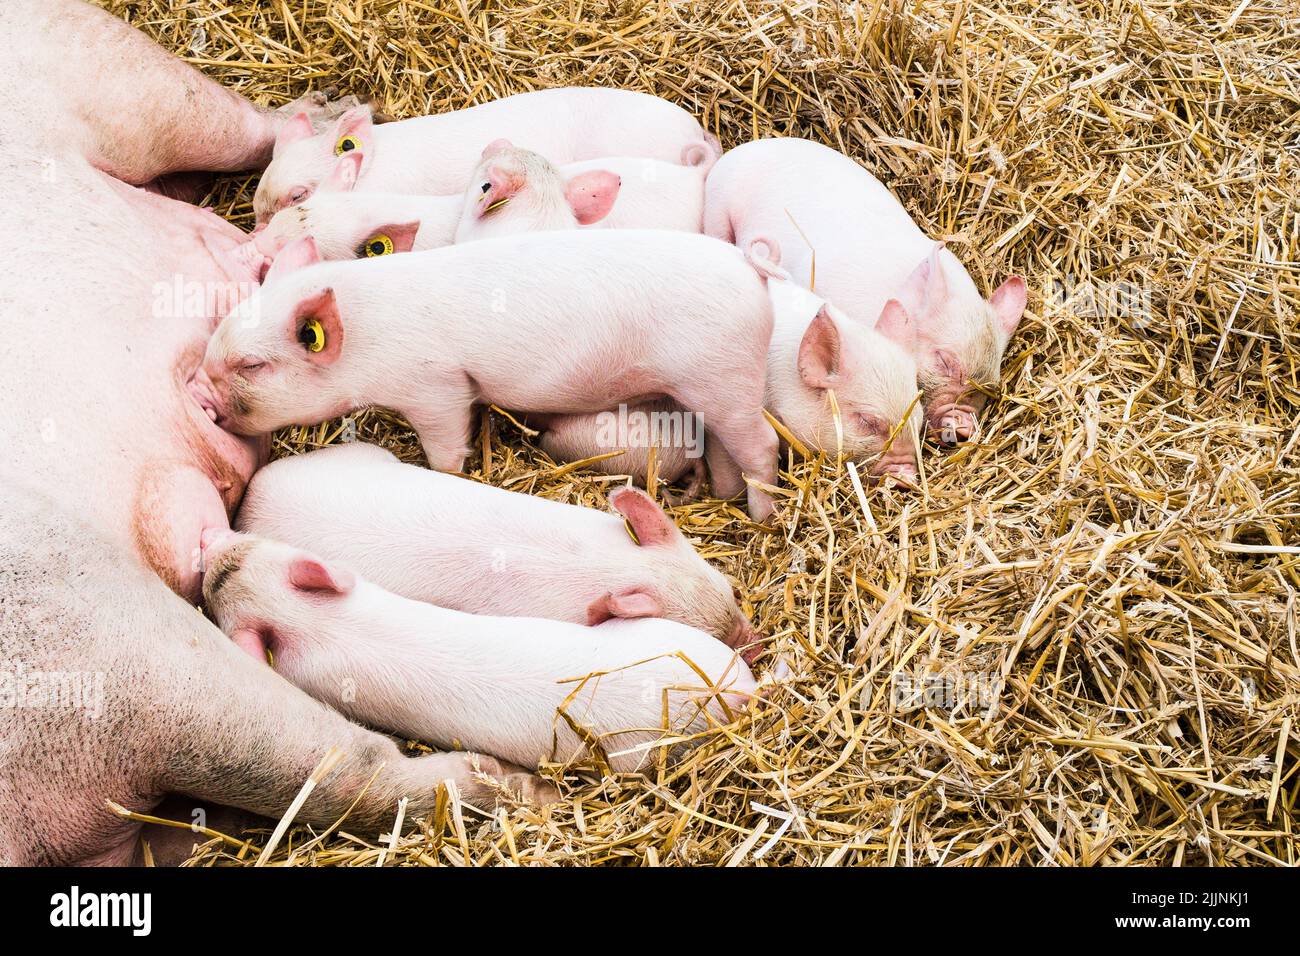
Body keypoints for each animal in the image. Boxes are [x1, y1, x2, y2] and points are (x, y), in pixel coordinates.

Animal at [0, 0, 549, 866]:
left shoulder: (89, 621)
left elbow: (324, 770)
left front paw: (521, 791)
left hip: (113, 76)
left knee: (246, 124)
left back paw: (328, 113)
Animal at [201, 230, 782, 520]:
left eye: (251, 366)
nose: (201, 397)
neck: (367, 336)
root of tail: (749, 269)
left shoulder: (436, 387)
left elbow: (445, 448)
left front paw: (448, 473)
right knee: (726, 449)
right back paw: (725, 498)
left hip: (721, 375)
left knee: (763, 444)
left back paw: (761, 517)